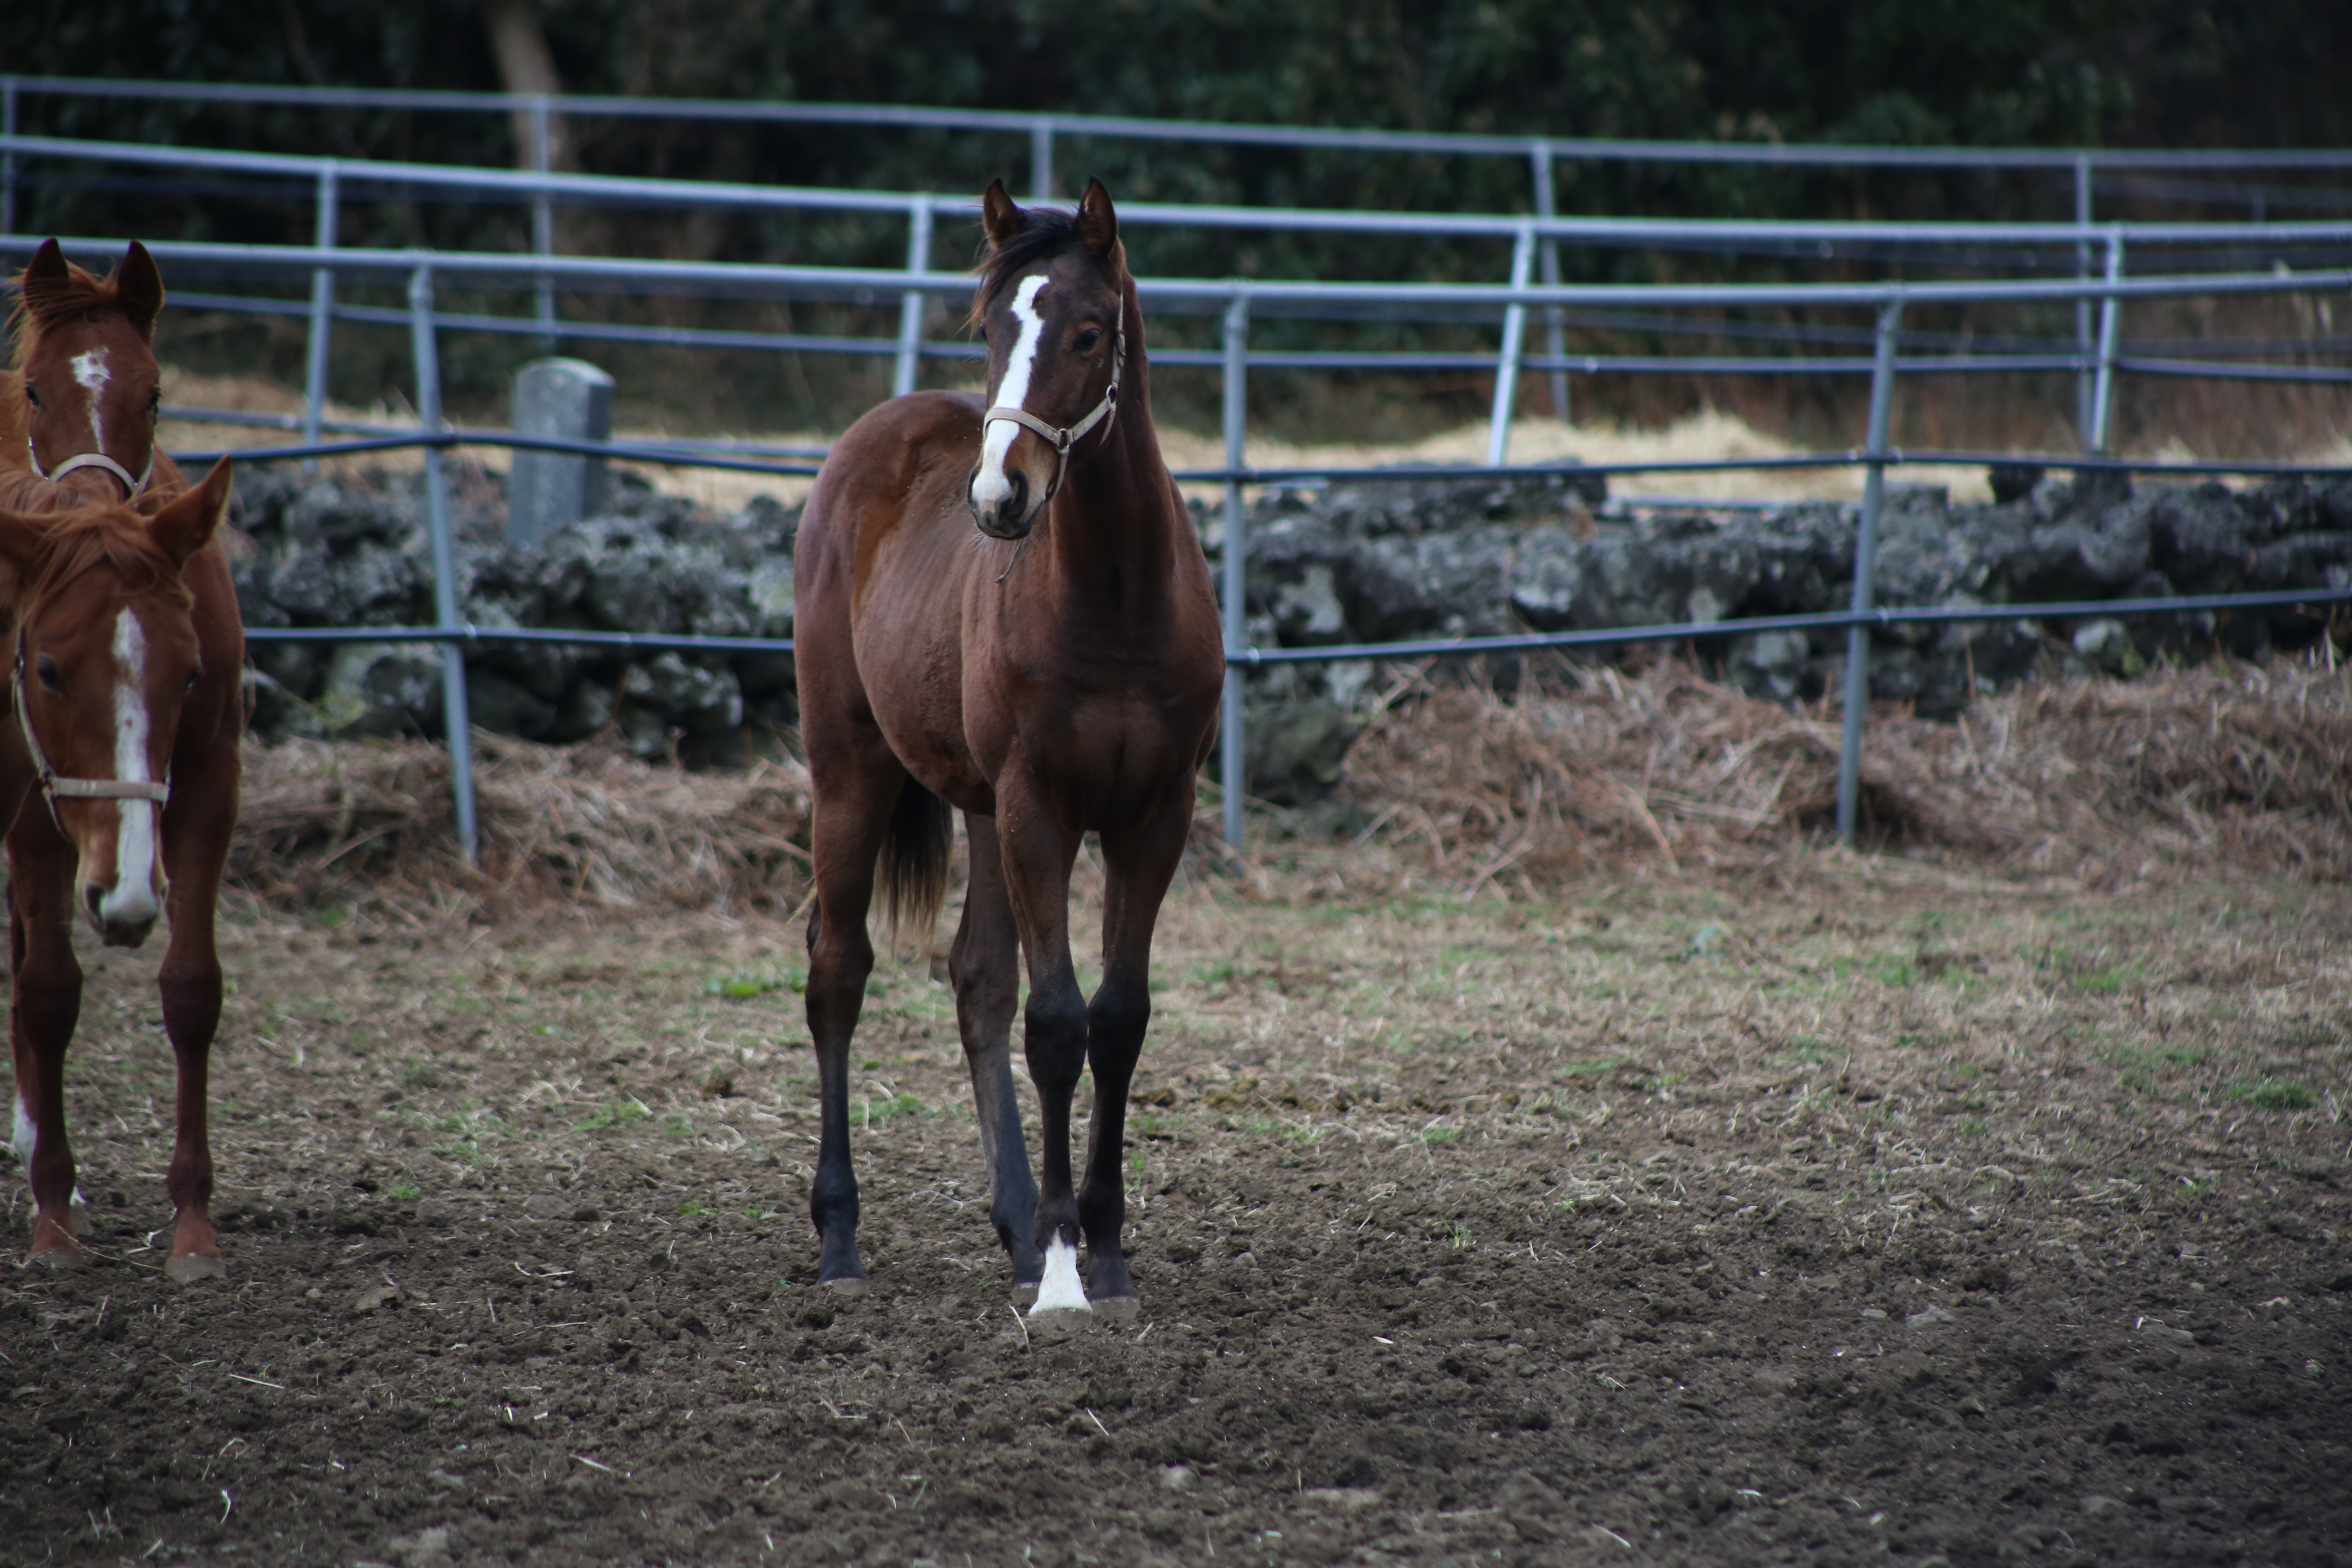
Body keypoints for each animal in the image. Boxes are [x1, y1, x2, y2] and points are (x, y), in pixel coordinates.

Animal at [795, 181, 1223, 1316]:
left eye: (1087, 332)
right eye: (989, 329)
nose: (1000, 498)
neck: (1115, 597)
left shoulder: (1152, 817)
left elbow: (1118, 1017)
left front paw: (1100, 1251)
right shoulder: (1042, 810)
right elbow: (1058, 1022)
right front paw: (1067, 1272)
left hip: (980, 807)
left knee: (975, 980)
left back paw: (1016, 1227)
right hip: (851, 772)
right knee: (837, 971)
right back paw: (840, 1237)